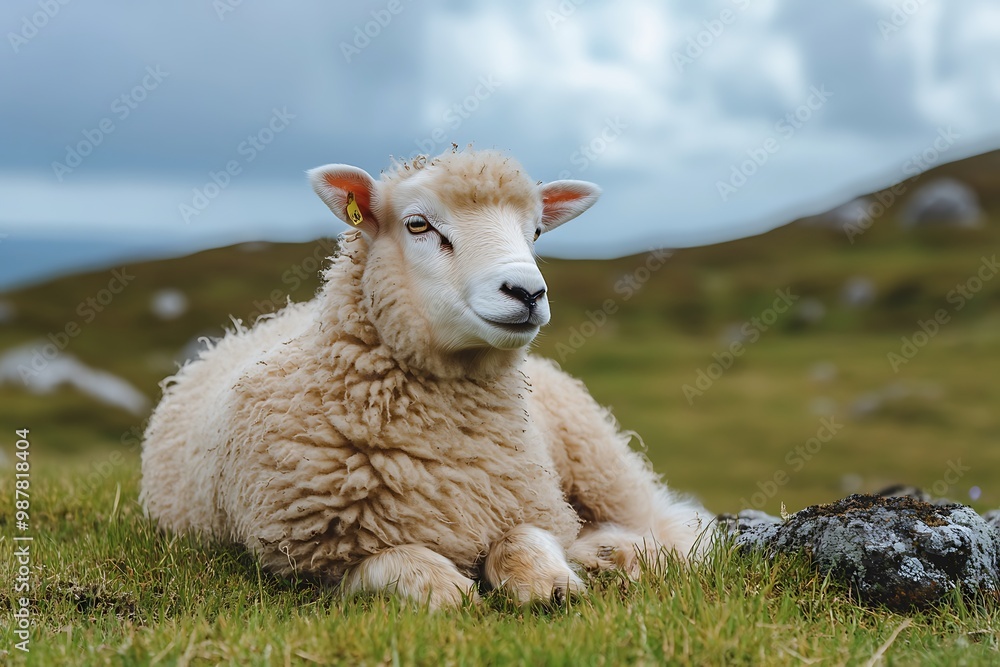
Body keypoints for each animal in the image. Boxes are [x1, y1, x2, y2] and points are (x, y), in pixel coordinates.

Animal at [140, 148, 711, 608]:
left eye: (536, 232)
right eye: (418, 225)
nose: (527, 293)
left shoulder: (535, 504)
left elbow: (525, 540)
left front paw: (553, 582)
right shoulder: (312, 560)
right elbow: (397, 562)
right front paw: (447, 590)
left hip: (600, 464)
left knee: (674, 526)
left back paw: (615, 550)